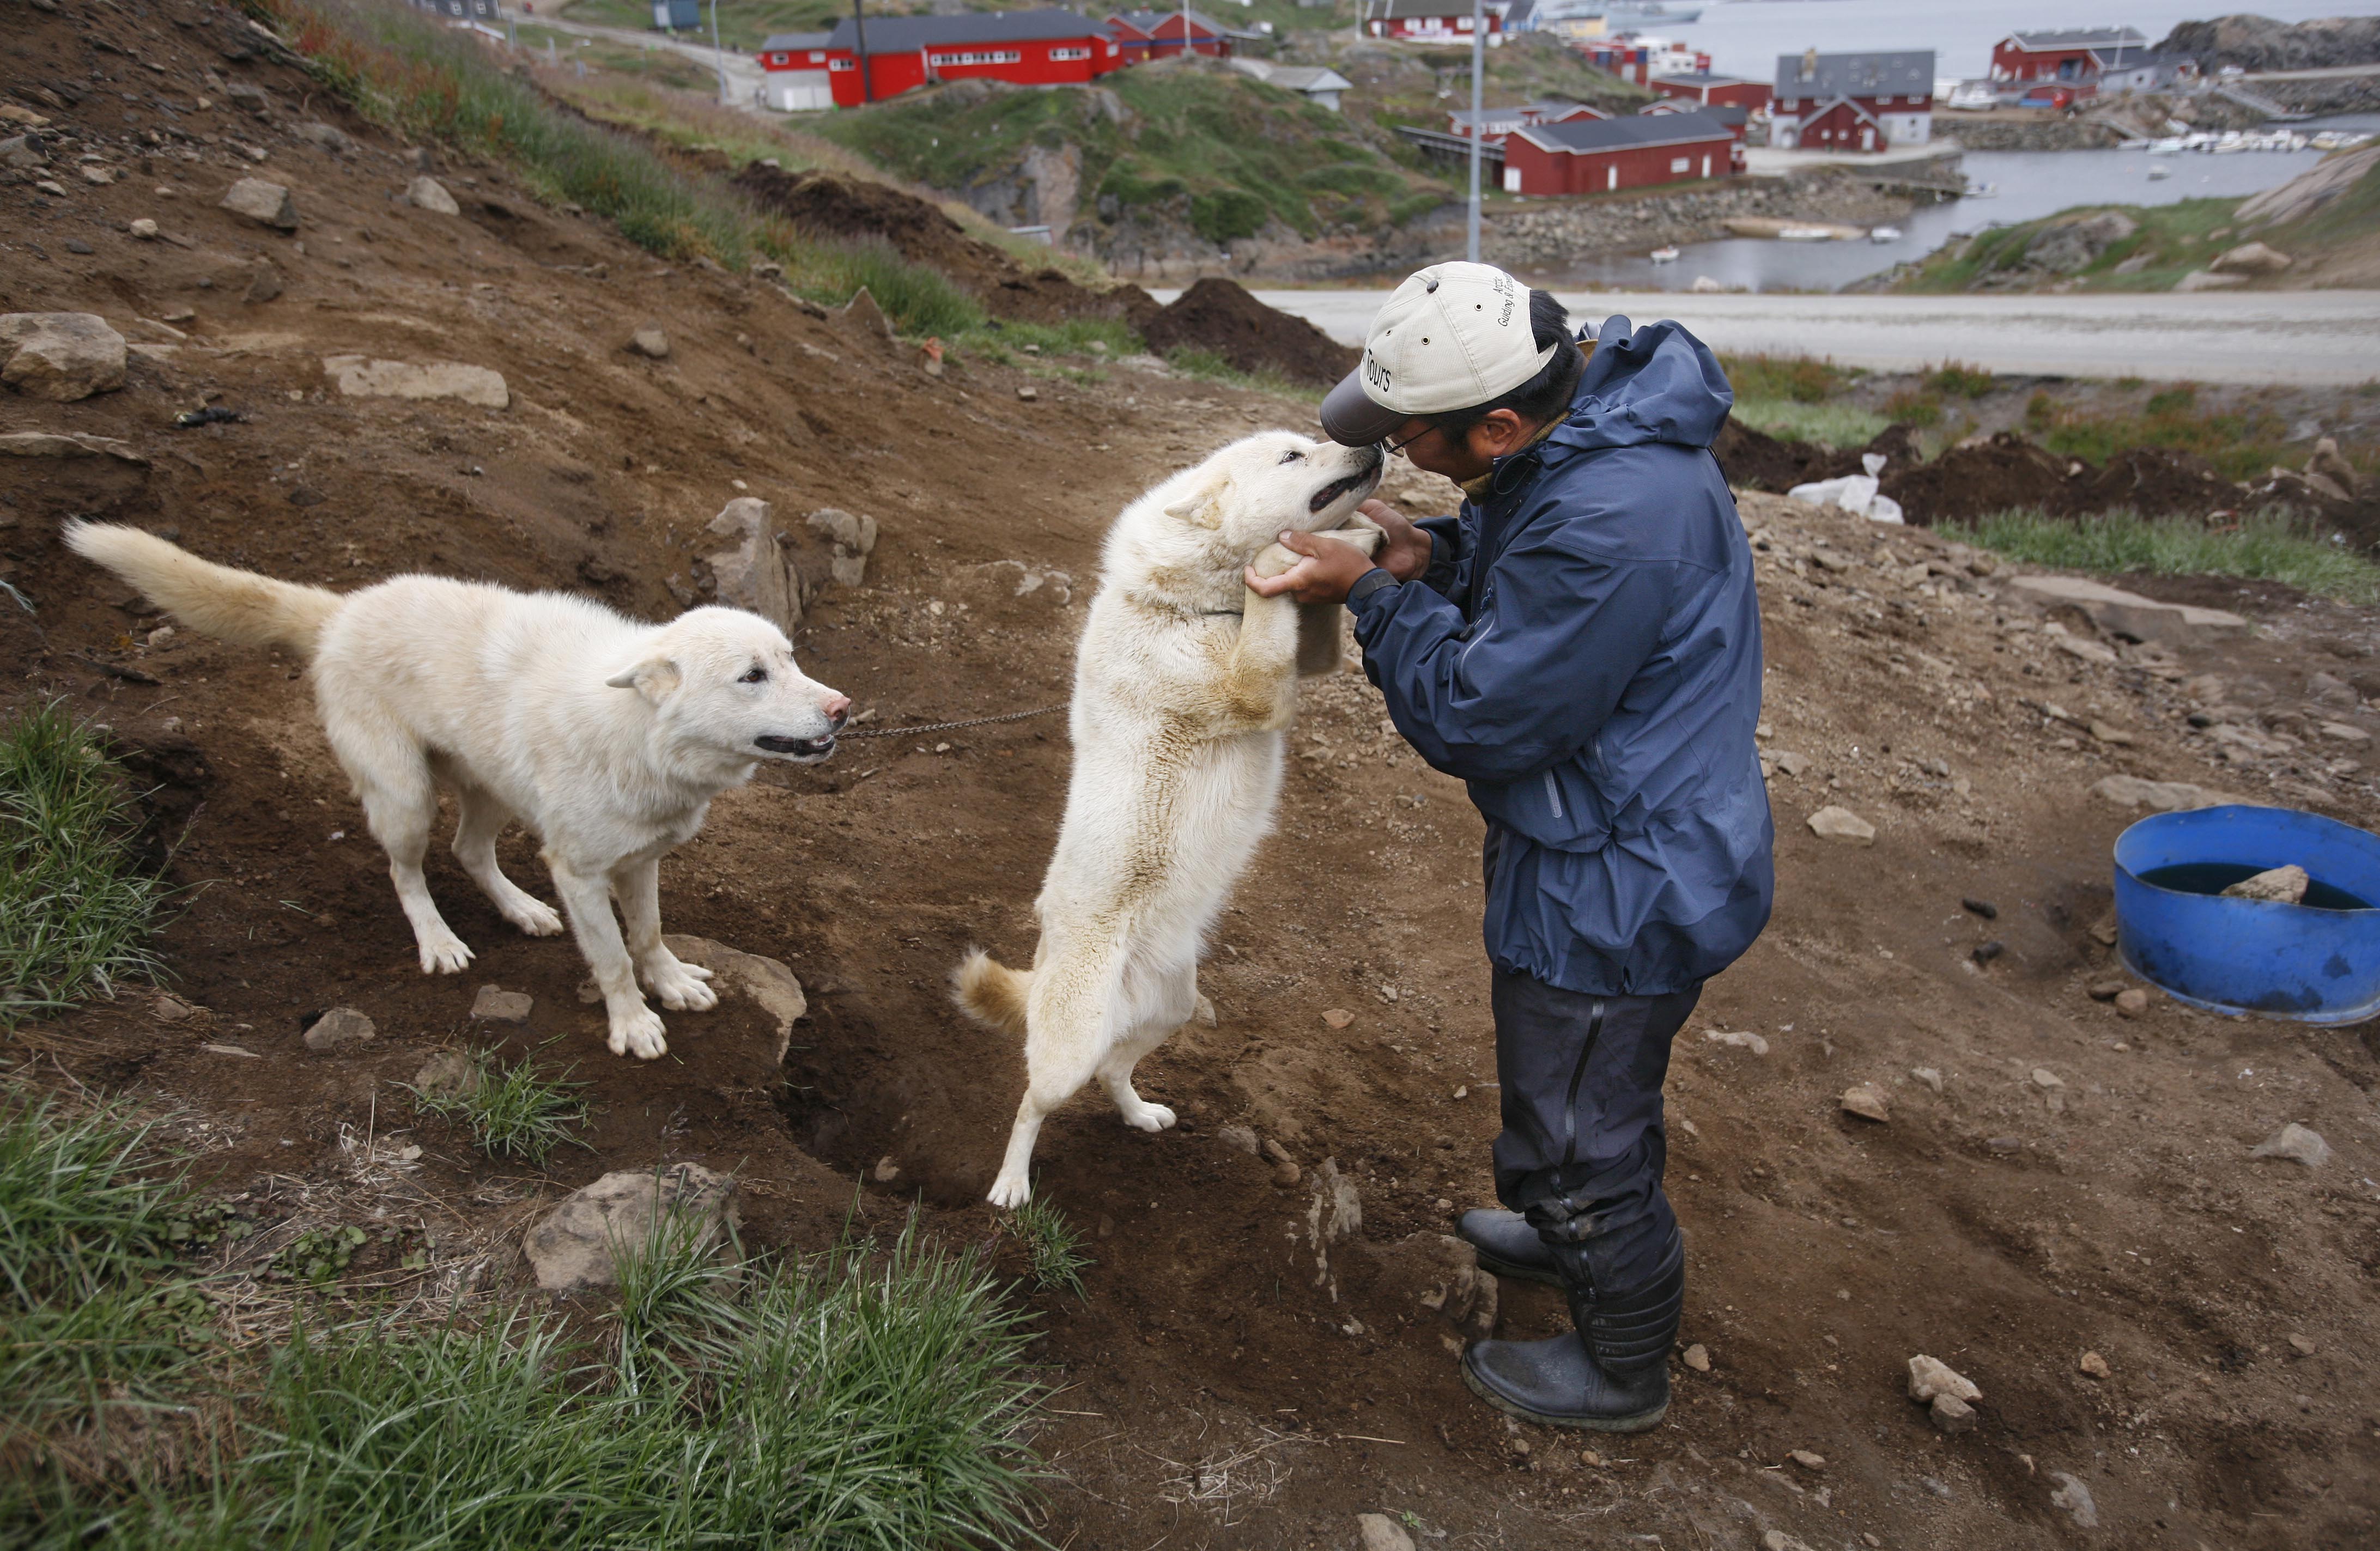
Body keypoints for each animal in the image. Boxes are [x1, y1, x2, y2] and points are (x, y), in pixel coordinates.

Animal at [65, 528, 852, 1061]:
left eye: (791, 659)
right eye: (752, 676)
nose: (843, 709)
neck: (639, 733)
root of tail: (342, 611)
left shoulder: (639, 862)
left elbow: (650, 934)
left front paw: (675, 984)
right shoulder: (581, 873)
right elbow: (613, 959)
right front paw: (632, 1024)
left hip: (491, 791)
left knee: (470, 850)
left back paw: (522, 910)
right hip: (405, 798)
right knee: (407, 870)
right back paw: (440, 942)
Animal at [952, 430, 1389, 1203]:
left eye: (1311, 441)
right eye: (1292, 457)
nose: (1371, 442)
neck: (1185, 606)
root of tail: (1048, 956)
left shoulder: (1297, 668)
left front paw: (1358, 537)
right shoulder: (1254, 689)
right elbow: (1269, 570)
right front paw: (1306, 550)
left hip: (1172, 1007)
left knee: (1112, 1071)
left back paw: (1141, 1115)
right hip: (1069, 1047)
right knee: (1034, 1103)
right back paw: (1010, 1186)